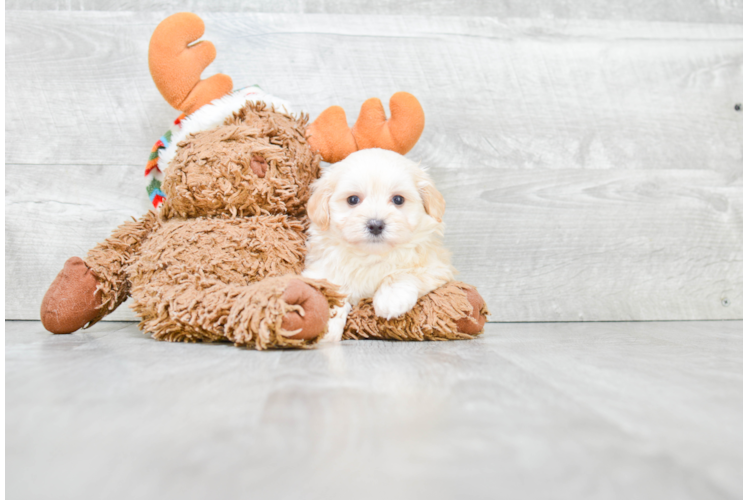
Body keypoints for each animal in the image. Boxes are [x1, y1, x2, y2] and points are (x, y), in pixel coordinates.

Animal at [302, 146, 456, 342]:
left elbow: (404, 273)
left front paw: (391, 298)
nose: (375, 225)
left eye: (398, 200)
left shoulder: (436, 266)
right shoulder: (320, 270)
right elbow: (332, 291)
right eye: (353, 200)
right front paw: (325, 327)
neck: (371, 255)